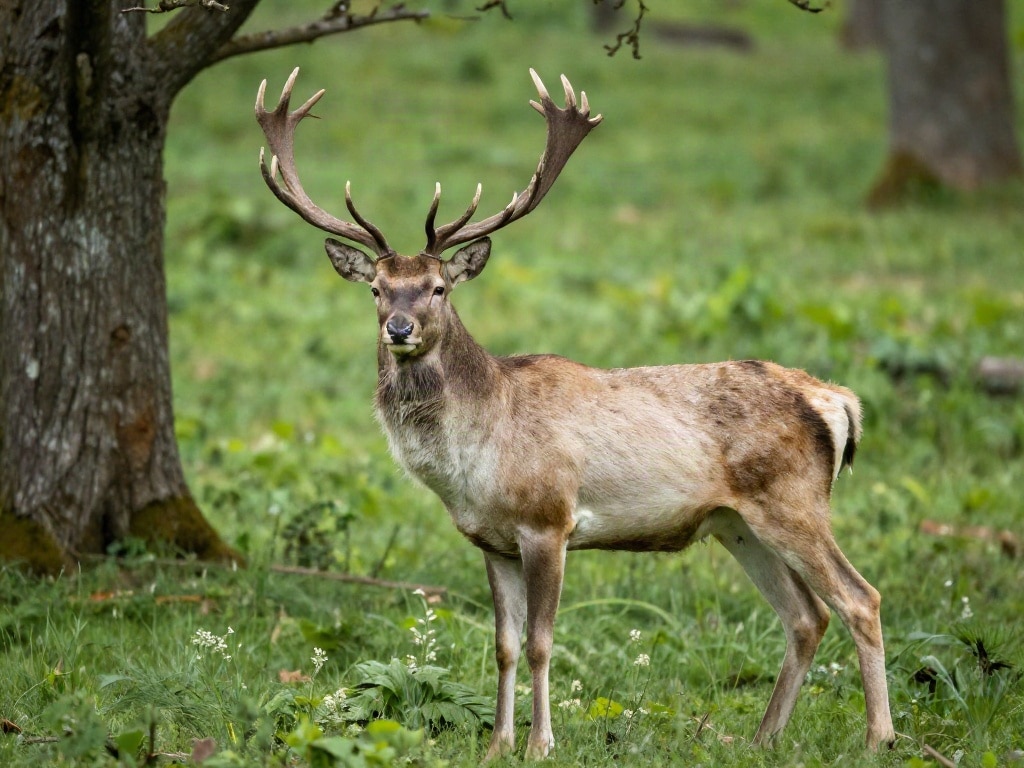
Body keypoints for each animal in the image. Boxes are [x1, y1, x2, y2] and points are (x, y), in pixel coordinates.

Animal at [255, 67, 896, 761]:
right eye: (376, 288)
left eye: (438, 288)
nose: (399, 328)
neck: (477, 457)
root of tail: (838, 401)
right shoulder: (492, 539)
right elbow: (504, 647)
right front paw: (497, 745)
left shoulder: (548, 520)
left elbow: (541, 642)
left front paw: (541, 744)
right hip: (736, 523)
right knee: (806, 615)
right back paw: (760, 740)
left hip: (794, 500)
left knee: (860, 598)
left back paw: (878, 738)